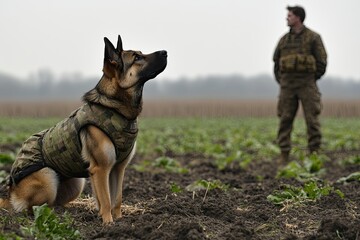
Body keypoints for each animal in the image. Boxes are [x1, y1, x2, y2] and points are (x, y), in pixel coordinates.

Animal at [0, 35, 167, 223]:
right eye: (137, 57)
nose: (165, 52)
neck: (116, 109)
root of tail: (10, 192)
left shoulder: (118, 168)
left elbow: (116, 199)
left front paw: (119, 220)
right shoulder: (101, 169)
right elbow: (106, 200)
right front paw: (109, 223)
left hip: (76, 184)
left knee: (53, 202)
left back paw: (63, 210)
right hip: (48, 178)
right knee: (30, 208)